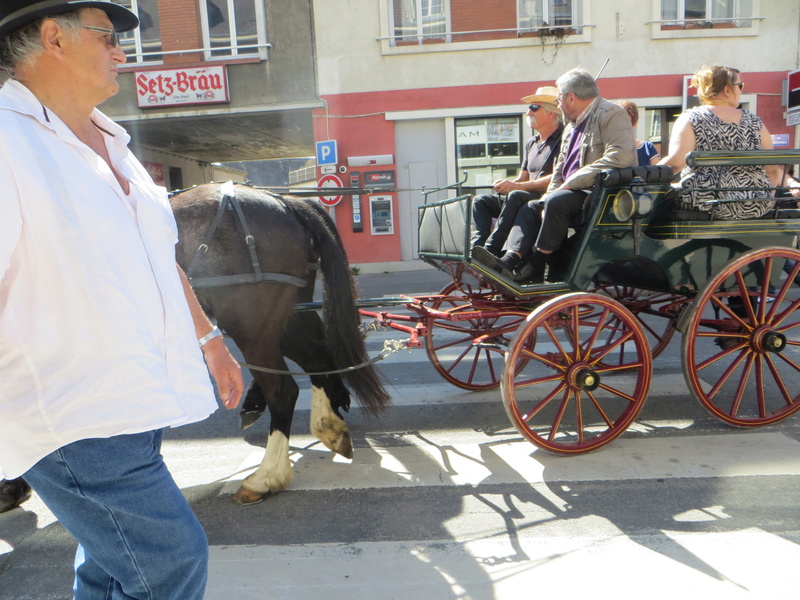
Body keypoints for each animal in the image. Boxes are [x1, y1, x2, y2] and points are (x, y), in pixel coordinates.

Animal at [171, 183, 390, 506]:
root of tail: (287, 203)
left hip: (252, 325)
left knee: (284, 390)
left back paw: (266, 476)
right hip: (284, 319)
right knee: (318, 357)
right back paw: (328, 425)